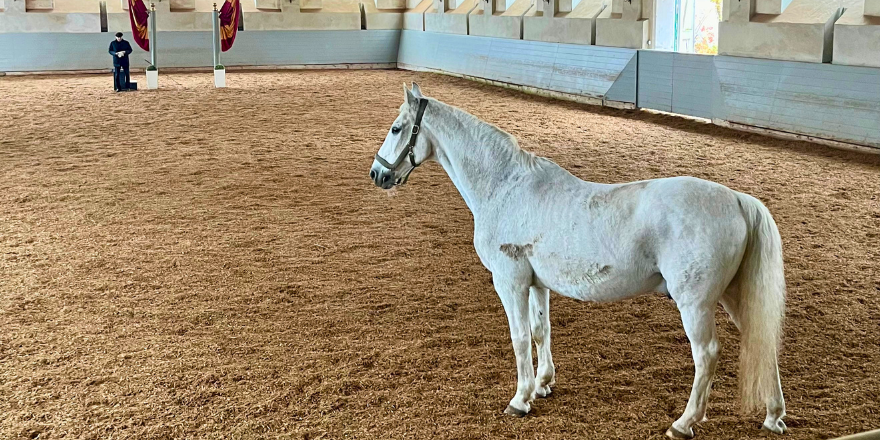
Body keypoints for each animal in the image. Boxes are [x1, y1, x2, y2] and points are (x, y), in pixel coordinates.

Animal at [369, 83, 787, 439]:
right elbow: (541, 331)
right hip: (734, 295)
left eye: (396, 128)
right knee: (764, 342)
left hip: (696, 303)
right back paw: (774, 416)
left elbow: (520, 338)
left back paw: (684, 423)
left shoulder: (510, 281)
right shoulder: (536, 284)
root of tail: (737, 199)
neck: (505, 186)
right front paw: (542, 385)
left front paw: (520, 399)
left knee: (707, 355)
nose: (377, 174)